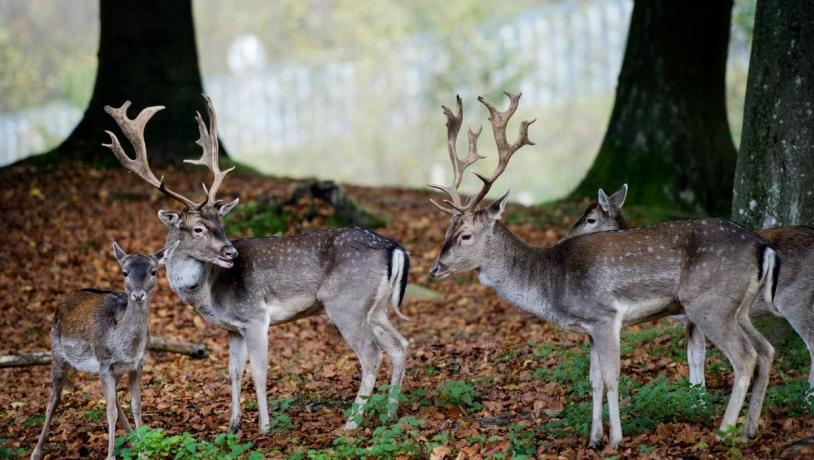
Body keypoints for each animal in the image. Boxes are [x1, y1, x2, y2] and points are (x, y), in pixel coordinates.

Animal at [31, 243, 176, 458]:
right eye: (125, 272)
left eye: (153, 271)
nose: (138, 295)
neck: (123, 346)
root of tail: (63, 298)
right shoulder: (104, 364)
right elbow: (110, 412)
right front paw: (111, 456)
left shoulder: (137, 364)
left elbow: (136, 406)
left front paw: (143, 452)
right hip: (56, 352)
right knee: (53, 399)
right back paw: (36, 452)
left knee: (114, 399)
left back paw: (133, 441)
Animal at [105, 95, 412, 434]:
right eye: (199, 228)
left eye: (221, 223)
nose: (230, 253)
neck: (209, 292)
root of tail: (395, 248)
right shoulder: (234, 328)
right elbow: (234, 371)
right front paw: (233, 425)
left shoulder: (255, 317)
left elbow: (260, 371)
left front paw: (264, 427)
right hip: (377, 307)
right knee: (400, 345)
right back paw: (390, 414)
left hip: (347, 302)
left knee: (371, 353)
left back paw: (351, 423)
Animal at [428, 93, 776, 450]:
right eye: (447, 231)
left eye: (465, 235)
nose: (434, 268)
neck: (551, 283)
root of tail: (763, 247)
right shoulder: (589, 328)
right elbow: (593, 380)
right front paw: (594, 439)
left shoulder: (605, 316)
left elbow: (611, 378)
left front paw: (615, 440)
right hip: (739, 308)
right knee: (766, 350)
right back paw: (749, 429)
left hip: (711, 303)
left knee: (745, 356)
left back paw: (726, 432)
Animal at [568, 185, 814, 390]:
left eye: (590, 219)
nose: (568, 237)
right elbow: (693, 356)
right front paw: (696, 392)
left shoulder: (691, 315)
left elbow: (696, 356)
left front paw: (699, 396)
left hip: (797, 300)